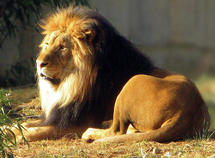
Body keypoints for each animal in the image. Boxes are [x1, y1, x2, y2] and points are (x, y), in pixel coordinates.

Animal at [12, 5, 210, 143]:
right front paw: (13, 129)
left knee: (116, 130)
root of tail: (189, 109)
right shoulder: (54, 115)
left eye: (62, 48)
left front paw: (22, 136)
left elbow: (41, 130)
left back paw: (92, 133)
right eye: (47, 44)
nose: (39, 63)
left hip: (133, 82)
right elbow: (22, 124)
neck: (69, 83)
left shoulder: (74, 123)